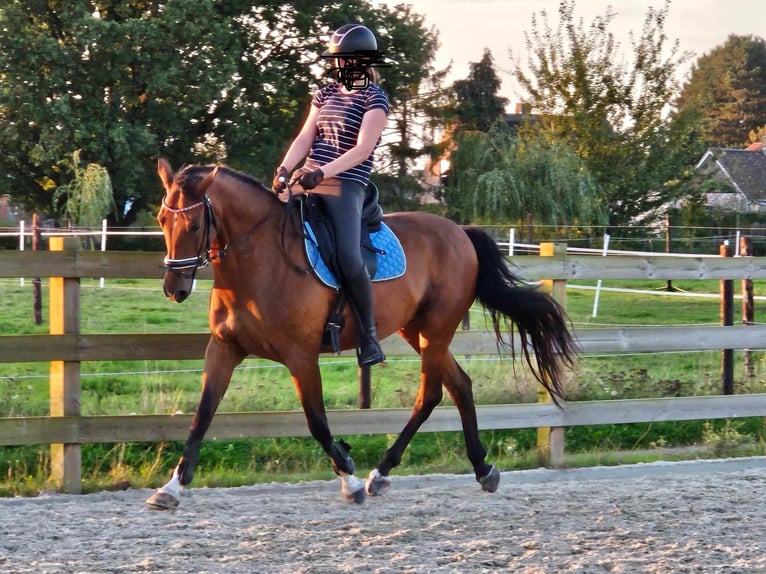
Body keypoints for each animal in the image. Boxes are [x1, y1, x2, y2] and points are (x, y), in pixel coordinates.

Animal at [148, 156, 576, 508]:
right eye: (161, 220)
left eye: (195, 223)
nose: (174, 288)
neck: (260, 261)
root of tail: (459, 231)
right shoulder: (224, 349)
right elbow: (202, 415)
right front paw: (171, 487)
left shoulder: (301, 357)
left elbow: (317, 422)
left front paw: (349, 478)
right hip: (415, 330)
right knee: (459, 385)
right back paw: (481, 469)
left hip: (436, 330)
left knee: (431, 394)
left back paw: (380, 473)